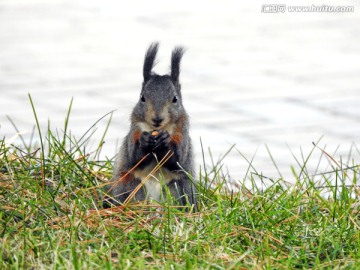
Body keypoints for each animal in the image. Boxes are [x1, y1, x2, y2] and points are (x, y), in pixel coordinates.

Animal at [104, 42, 198, 211]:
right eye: (142, 98)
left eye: (175, 99)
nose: (157, 119)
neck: (157, 130)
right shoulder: (134, 129)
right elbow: (134, 157)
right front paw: (145, 141)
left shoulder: (182, 133)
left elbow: (178, 159)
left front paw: (165, 141)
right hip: (129, 184)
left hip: (177, 187)